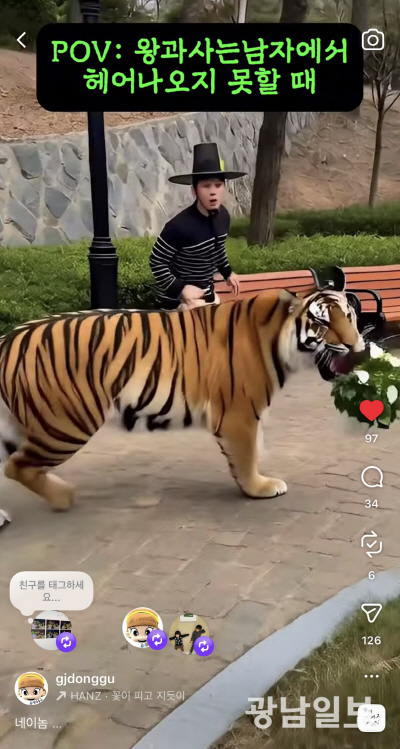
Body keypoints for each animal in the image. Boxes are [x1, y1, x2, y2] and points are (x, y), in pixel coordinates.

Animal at [0, 287, 365, 516]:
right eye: (322, 322)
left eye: (350, 316)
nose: (355, 345)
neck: (276, 337)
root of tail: (6, 339)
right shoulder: (238, 413)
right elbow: (246, 456)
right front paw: (259, 487)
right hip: (66, 424)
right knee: (17, 466)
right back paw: (64, 497)